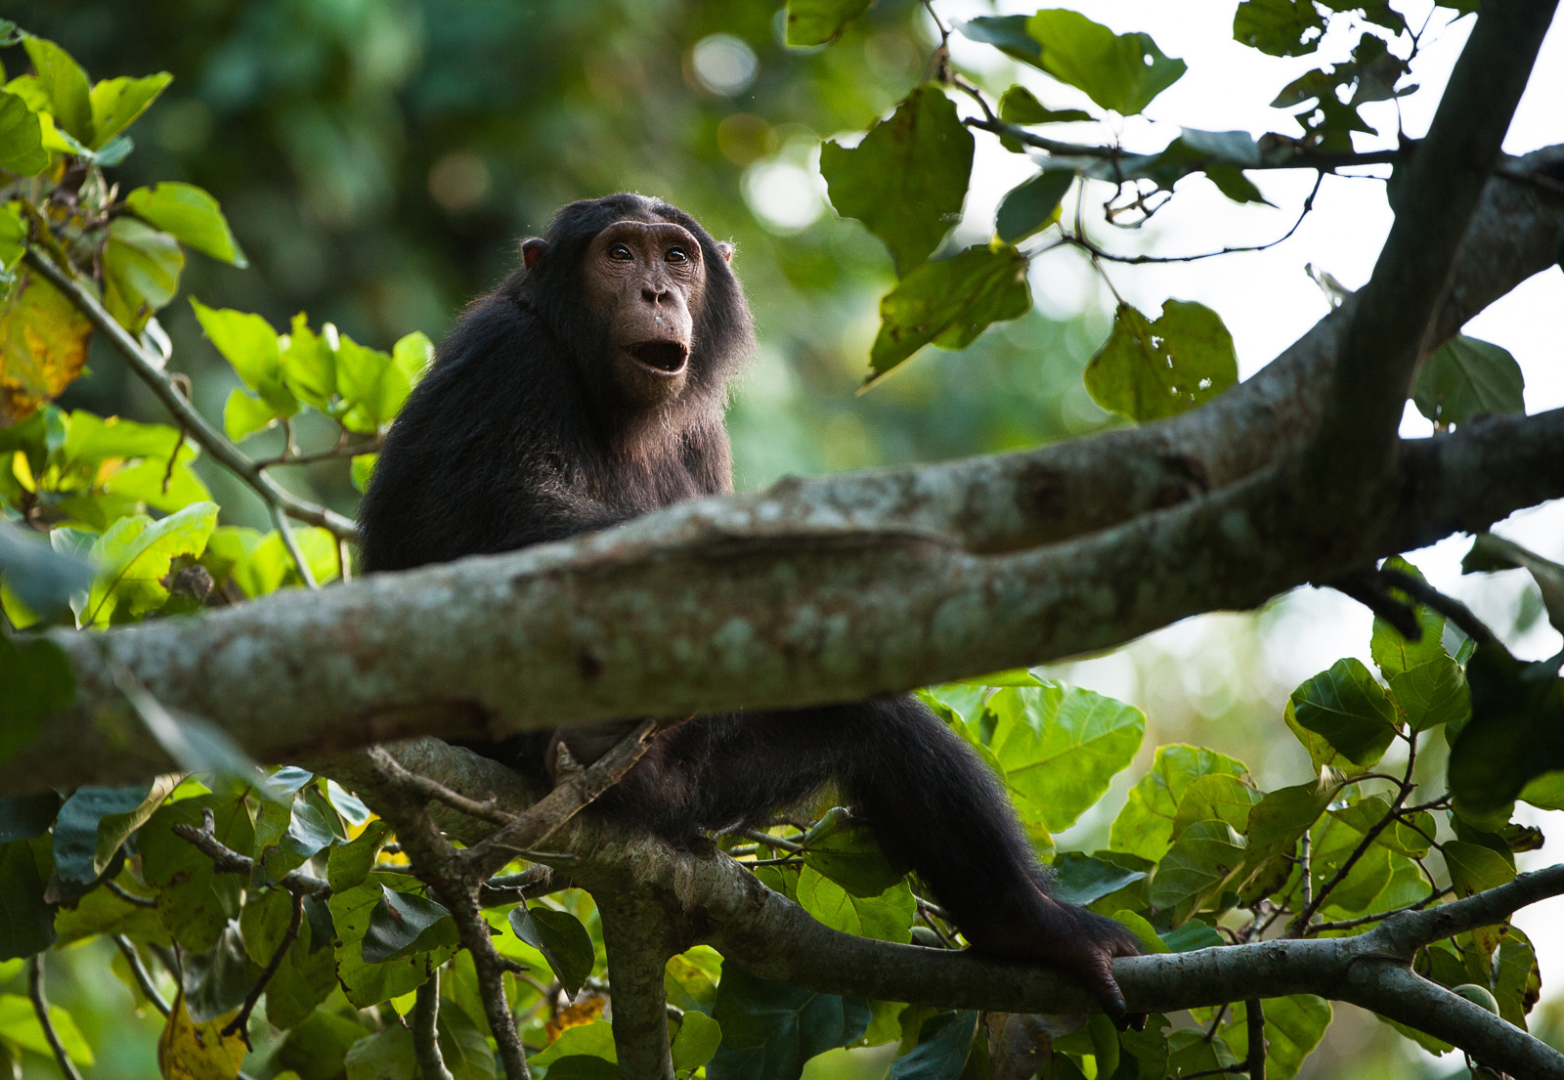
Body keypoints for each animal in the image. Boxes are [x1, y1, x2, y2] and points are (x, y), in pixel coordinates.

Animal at [357, 193, 1141, 1022]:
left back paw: (1032, 928)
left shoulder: (705, 437)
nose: (656, 292)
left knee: (881, 728)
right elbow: (485, 537)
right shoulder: (503, 359)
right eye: (619, 254)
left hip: (688, 786)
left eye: (675, 257)